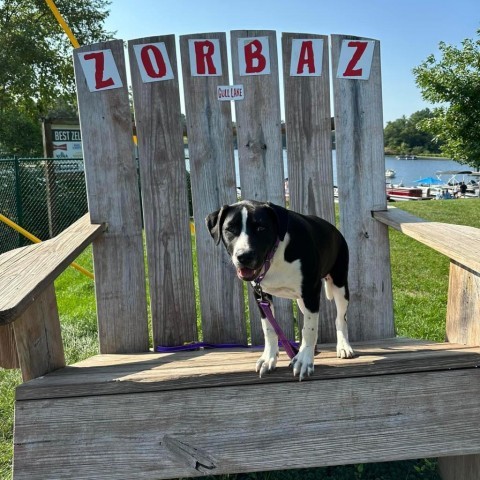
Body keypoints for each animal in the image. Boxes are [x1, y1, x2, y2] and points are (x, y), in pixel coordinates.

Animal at [204, 198, 354, 378]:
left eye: (261, 228)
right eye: (230, 229)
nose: (244, 256)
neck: (275, 255)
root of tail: (335, 230)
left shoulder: (311, 291)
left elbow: (310, 328)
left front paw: (304, 360)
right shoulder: (260, 295)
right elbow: (269, 328)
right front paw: (268, 358)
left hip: (339, 286)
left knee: (340, 318)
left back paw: (343, 346)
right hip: (302, 301)